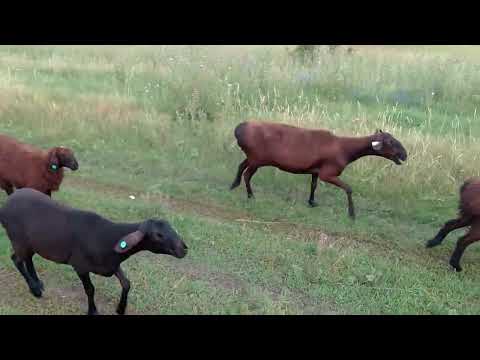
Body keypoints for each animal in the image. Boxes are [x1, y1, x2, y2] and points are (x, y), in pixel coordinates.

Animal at [0, 188, 188, 316]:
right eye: (158, 235)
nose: (184, 249)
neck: (107, 238)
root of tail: (9, 200)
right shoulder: (80, 266)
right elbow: (90, 289)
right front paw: (93, 311)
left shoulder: (112, 265)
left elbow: (126, 283)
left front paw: (121, 308)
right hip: (18, 240)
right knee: (16, 259)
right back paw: (35, 290)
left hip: (31, 243)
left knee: (28, 258)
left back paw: (38, 283)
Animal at [229, 120, 404, 219]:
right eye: (390, 142)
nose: (405, 154)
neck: (345, 149)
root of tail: (239, 129)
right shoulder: (328, 174)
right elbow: (348, 188)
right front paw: (352, 214)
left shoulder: (316, 170)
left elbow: (313, 185)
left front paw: (312, 202)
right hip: (257, 159)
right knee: (247, 175)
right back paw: (250, 196)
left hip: (253, 157)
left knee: (241, 166)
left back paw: (233, 185)